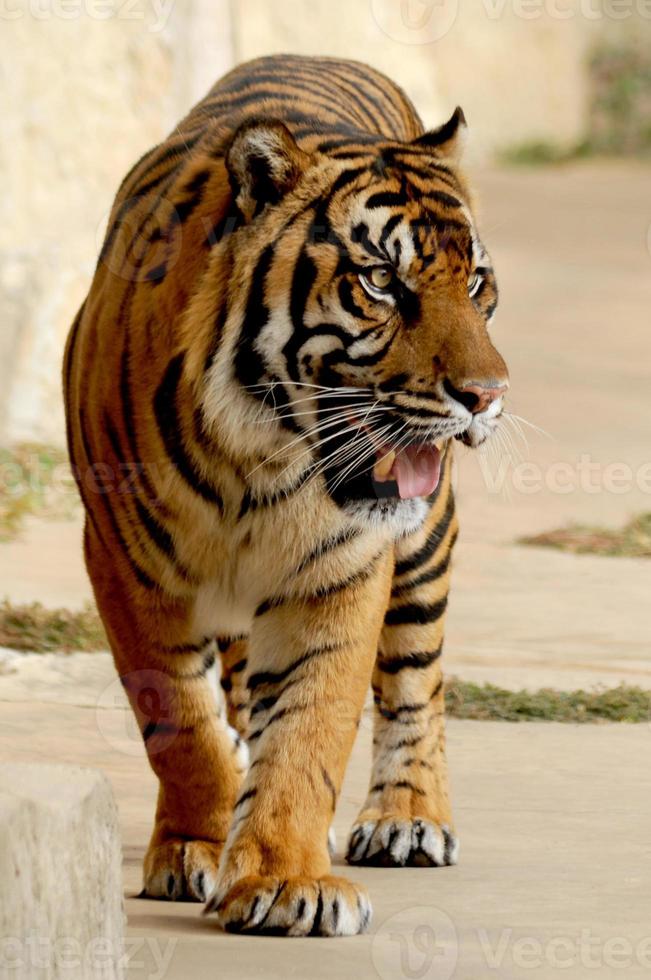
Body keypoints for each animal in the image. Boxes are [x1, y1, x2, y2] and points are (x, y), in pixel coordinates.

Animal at [62, 51, 510, 936]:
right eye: (381, 281)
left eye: (477, 282)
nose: (485, 396)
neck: (259, 457)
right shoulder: (126, 565)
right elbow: (184, 727)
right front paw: (198, 846)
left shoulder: (340, 569)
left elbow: (310, 727)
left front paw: (283, 878)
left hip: (424, 543)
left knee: (416, 680)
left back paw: (408, 820)